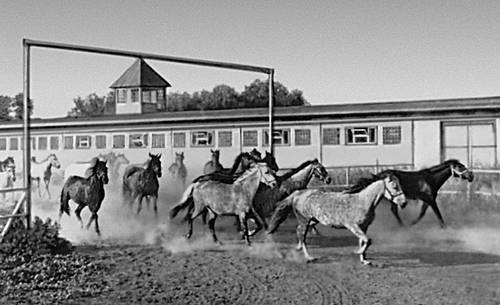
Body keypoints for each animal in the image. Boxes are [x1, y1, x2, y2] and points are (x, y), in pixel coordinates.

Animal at [270, 173, 406, 264]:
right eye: (394, 186)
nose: (404, 203)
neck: (363, 202)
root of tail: (298, 193)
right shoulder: (353, 226)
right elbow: (368, 240)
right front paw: (357, 252)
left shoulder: (364, 227)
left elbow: (363, 241)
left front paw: (364, 260)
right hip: (304, 220)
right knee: (302, 234)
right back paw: (309, 257)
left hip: (312, 220)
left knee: (299, 231)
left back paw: (298, 248)